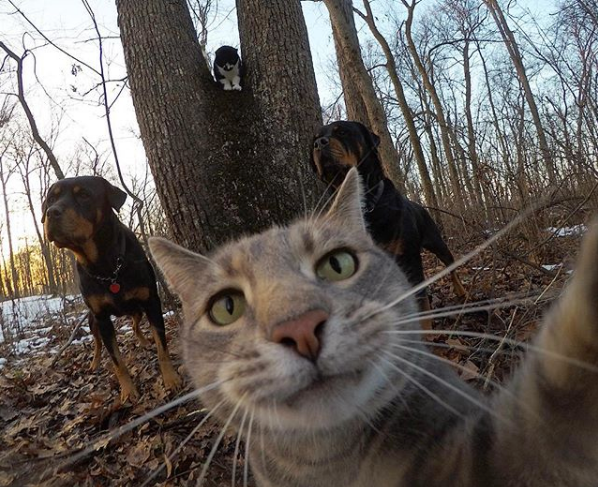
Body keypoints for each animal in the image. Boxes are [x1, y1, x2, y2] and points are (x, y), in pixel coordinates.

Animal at [42, 177, 180, 402]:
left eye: (84, 195)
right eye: (51, 199)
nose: (51, 212)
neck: (105, 266)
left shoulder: (151, 302)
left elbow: (162, 347)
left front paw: (171, 379)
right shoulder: (101, 317)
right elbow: (117, 361)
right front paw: (128, 391)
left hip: (137, 309)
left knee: (134, 325)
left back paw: (144, 342)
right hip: (92, 320)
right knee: (97, 343)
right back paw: (95, 362)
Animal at [314, 119, 468, 324]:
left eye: (343, 132)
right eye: (314, 139)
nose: (319, 143)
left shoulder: (409, 260)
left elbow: (421, 303)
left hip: (436, 241)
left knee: (450, 264)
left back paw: (461, 291)